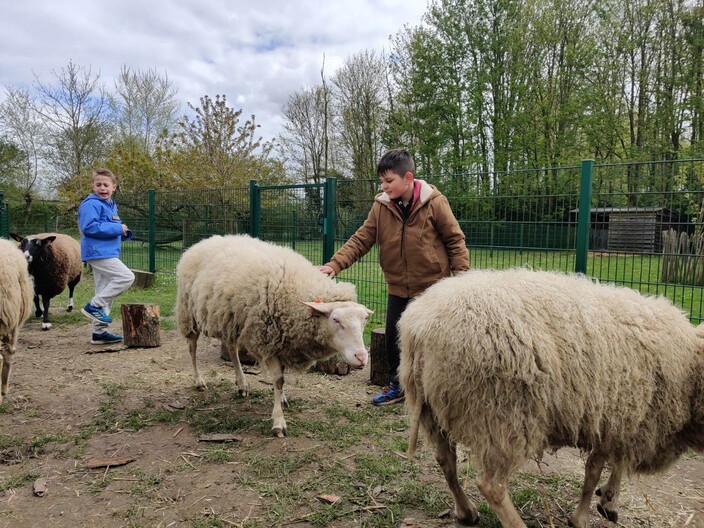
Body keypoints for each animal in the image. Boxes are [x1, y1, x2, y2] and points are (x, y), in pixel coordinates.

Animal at [176, 235, 372, 438]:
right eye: (335, 319)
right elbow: (278, 380)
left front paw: (283, 398)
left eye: (365, 320)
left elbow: (281, 379)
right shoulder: (268, 342)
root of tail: (203, 242)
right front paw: (279, 421)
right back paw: (199, 381)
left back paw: (242, 384)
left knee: (231, 349)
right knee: (192, 348)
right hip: (188, 312)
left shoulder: (283, 343)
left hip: (231, 319)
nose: (361, 357)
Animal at [398, 268, 704, 528]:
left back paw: (466, 511)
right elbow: (593, 471)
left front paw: (608, 500)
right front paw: (582, 516)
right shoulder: (617, 416)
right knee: (491, 485)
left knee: (446, 462)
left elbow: (614, 466)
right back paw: (514, 522)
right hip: (501, 415)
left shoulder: (622, 421)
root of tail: (420, 327)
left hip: (433, 410)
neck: (689, 369)